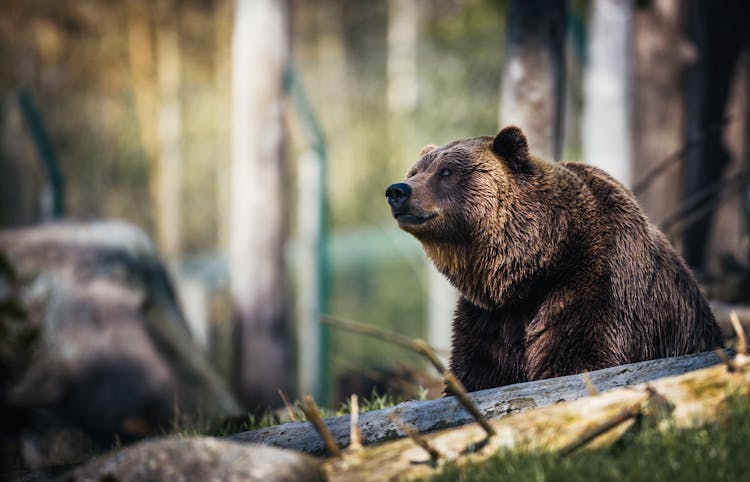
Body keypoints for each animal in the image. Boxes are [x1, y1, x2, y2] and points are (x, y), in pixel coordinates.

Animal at [384, 124, 724, 392]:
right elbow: (476, 371)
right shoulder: (489, 317)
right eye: (415, 171)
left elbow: (580, 358)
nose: (397, 190)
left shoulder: (595, 286)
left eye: (446, 171)